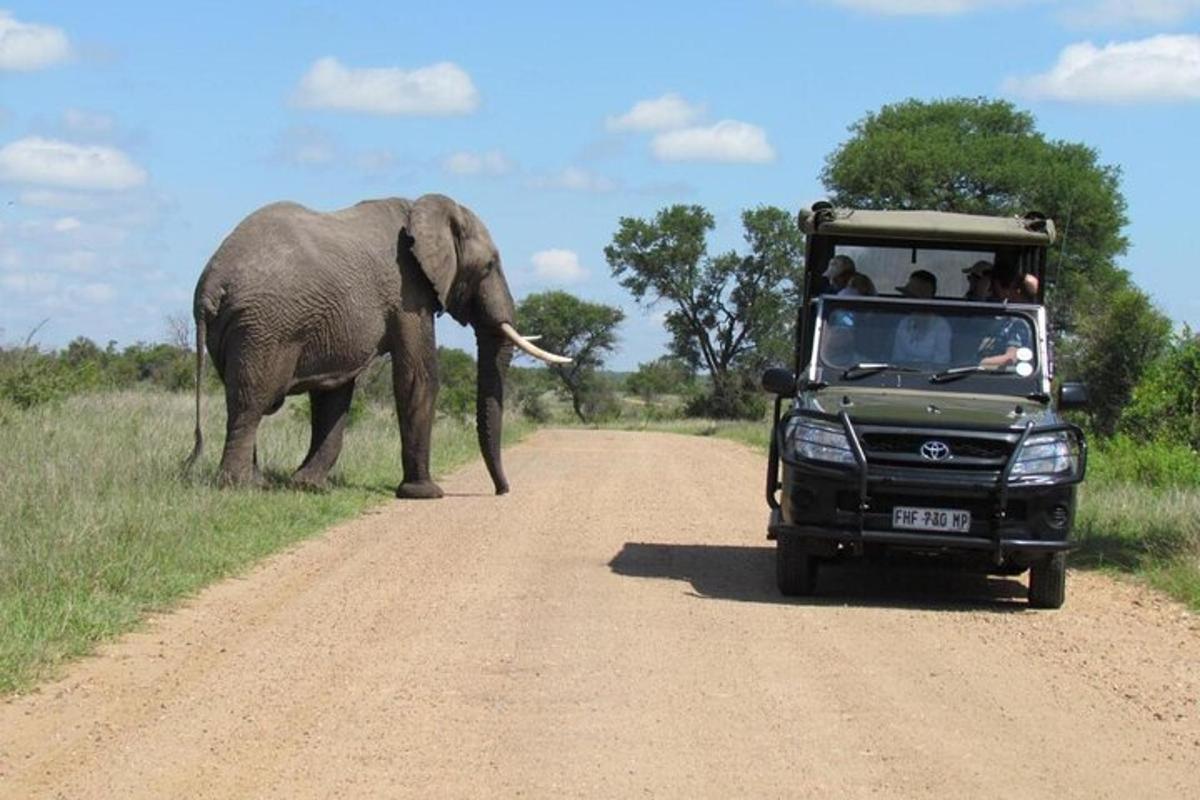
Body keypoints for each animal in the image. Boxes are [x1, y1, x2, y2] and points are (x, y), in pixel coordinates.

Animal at [182, 191, 566, 494]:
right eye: (488, 266)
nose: (502, 490)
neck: (423, 209)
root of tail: (210, 285)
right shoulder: (408, 291)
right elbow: (419, 378)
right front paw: (424, 493)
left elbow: (334, 394)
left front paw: (308, 486)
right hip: (265, 326)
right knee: (252, 402)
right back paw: (238, 486)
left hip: (237, 329)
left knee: (241, 400)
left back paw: (257, 482)